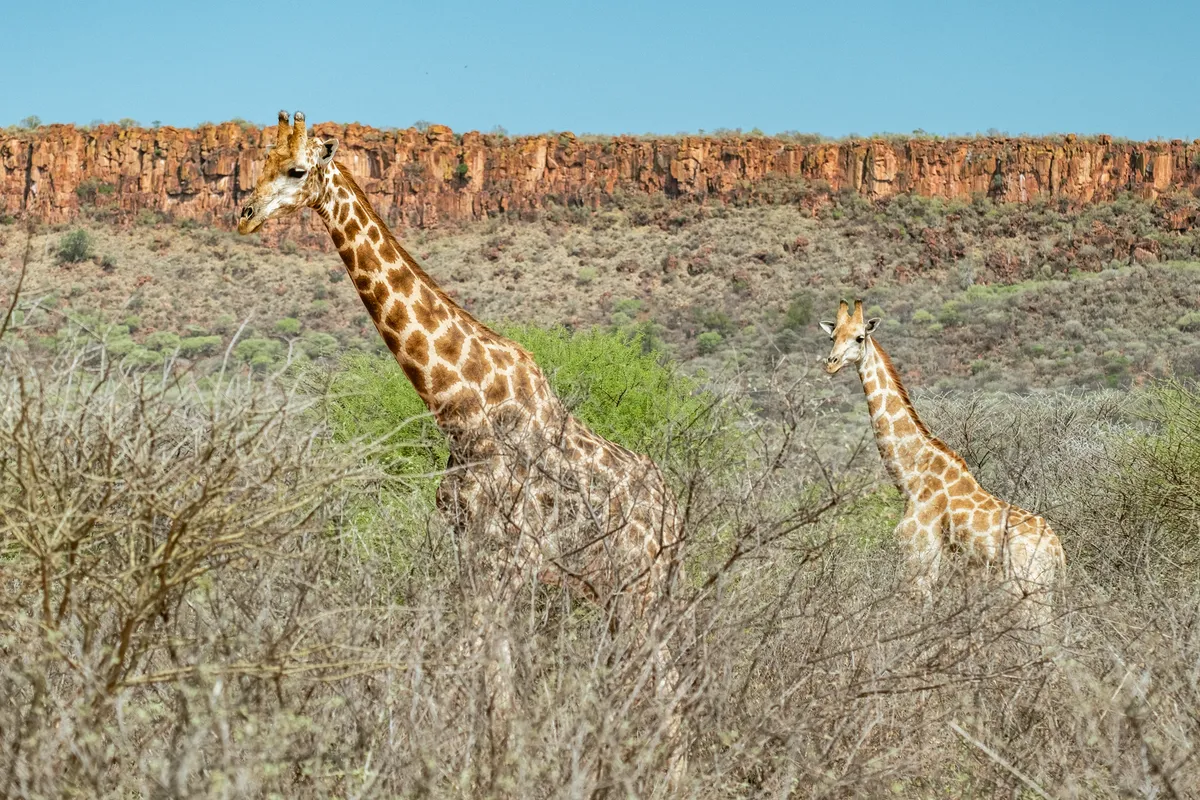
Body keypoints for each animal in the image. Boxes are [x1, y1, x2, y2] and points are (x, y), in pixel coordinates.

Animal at [236, 107, 686, 758]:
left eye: (297, 169)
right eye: (260, 162)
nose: (243, 214)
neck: (458, 405)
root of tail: (676, 512)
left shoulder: (509, 560)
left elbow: (486, 677)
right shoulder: (469, 552)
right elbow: (484, 677)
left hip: (644, 590)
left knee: (668, 689)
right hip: (613, 593)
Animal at [820, 299, 1065, 618]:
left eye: (860, 338)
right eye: (832, 337)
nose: (831, 363)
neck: (911, 477)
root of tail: (1058, 550)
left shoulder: (920, 558)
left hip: (1028, 587)